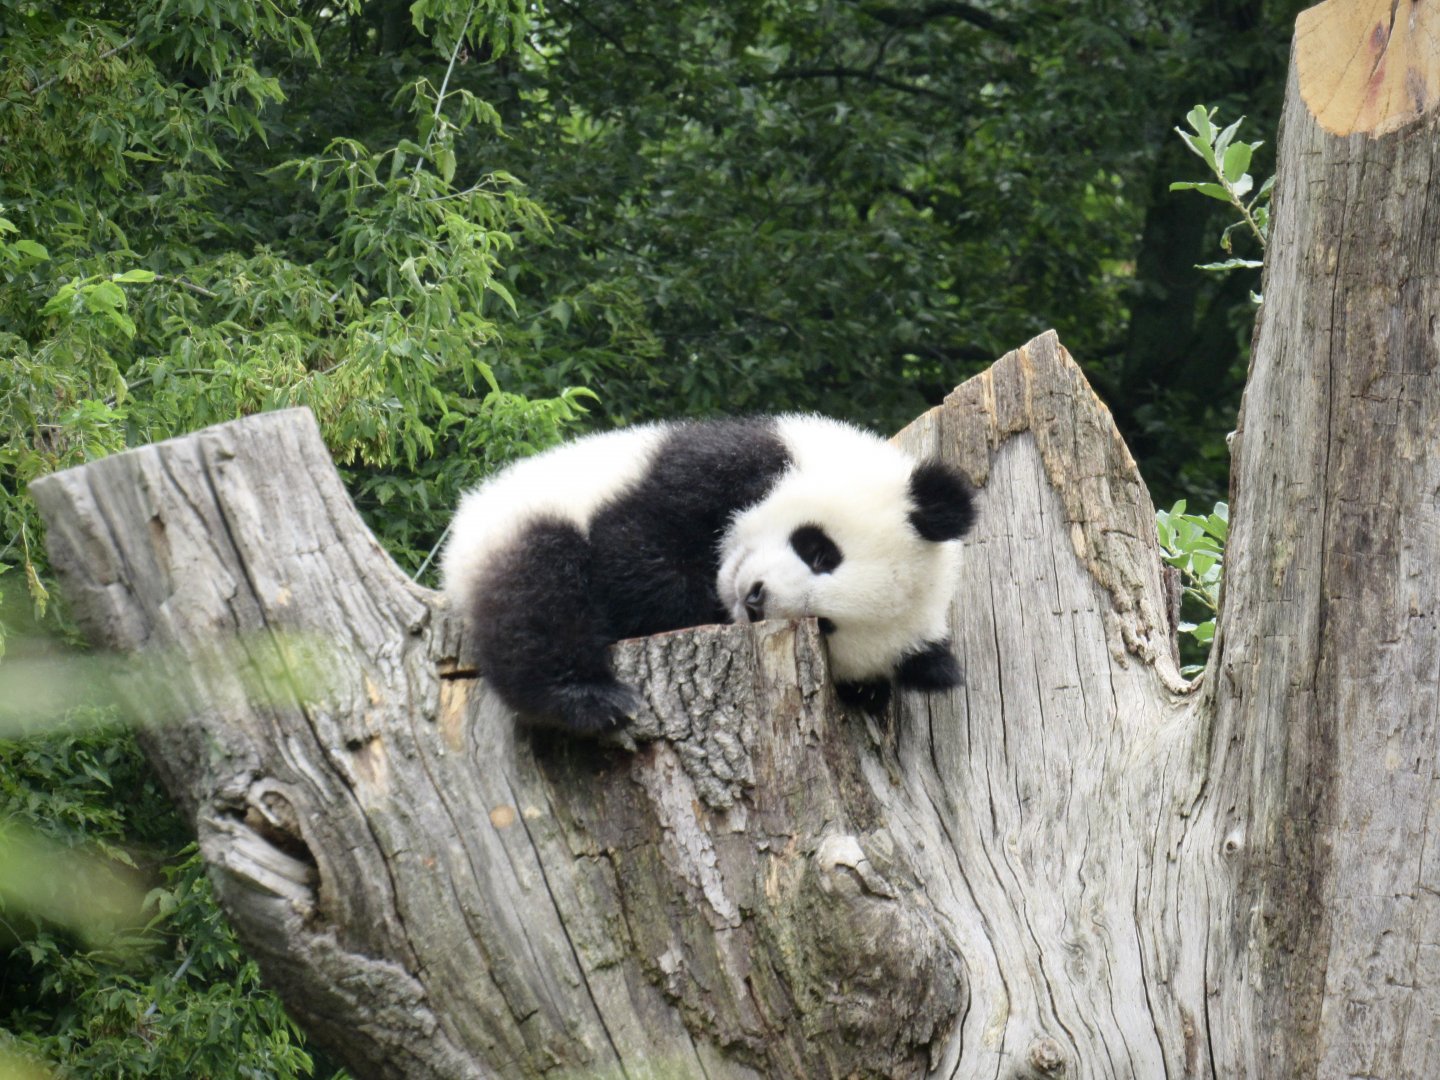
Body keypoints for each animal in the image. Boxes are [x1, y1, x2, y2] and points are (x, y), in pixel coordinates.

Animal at [440, 415, 975, 735]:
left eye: (825, 626)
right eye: (819, 551)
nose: (756, 600)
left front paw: (869, 693)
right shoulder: (724, 460)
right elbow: (635, 547)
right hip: (509, 524)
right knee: (537, 597)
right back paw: (589, 699)